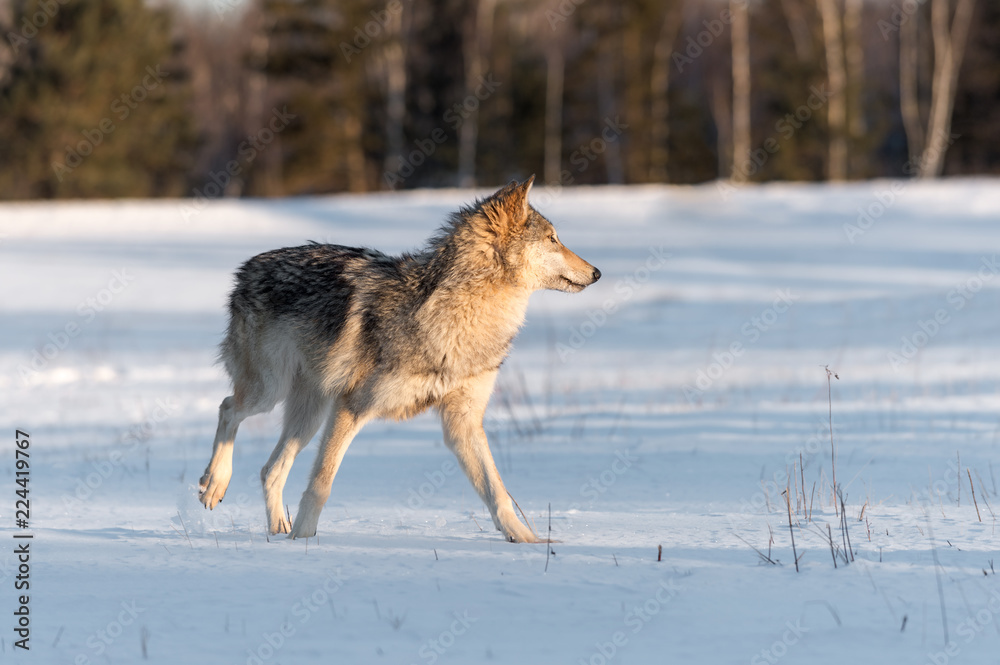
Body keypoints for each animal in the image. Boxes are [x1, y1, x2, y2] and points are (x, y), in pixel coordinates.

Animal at [197, 176, 600, 542]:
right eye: (553, 239)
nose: (597, 273)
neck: (461, 318)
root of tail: (248, 266)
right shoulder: (352, 407)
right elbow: (322, 483)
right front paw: (305, 542)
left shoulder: (463, 421)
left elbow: (497, 492)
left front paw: (529, 543)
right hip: (270, 394)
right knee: (227, 407)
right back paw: (215, 484)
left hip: (308, 416)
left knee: (270, 469)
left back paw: (278, 529)